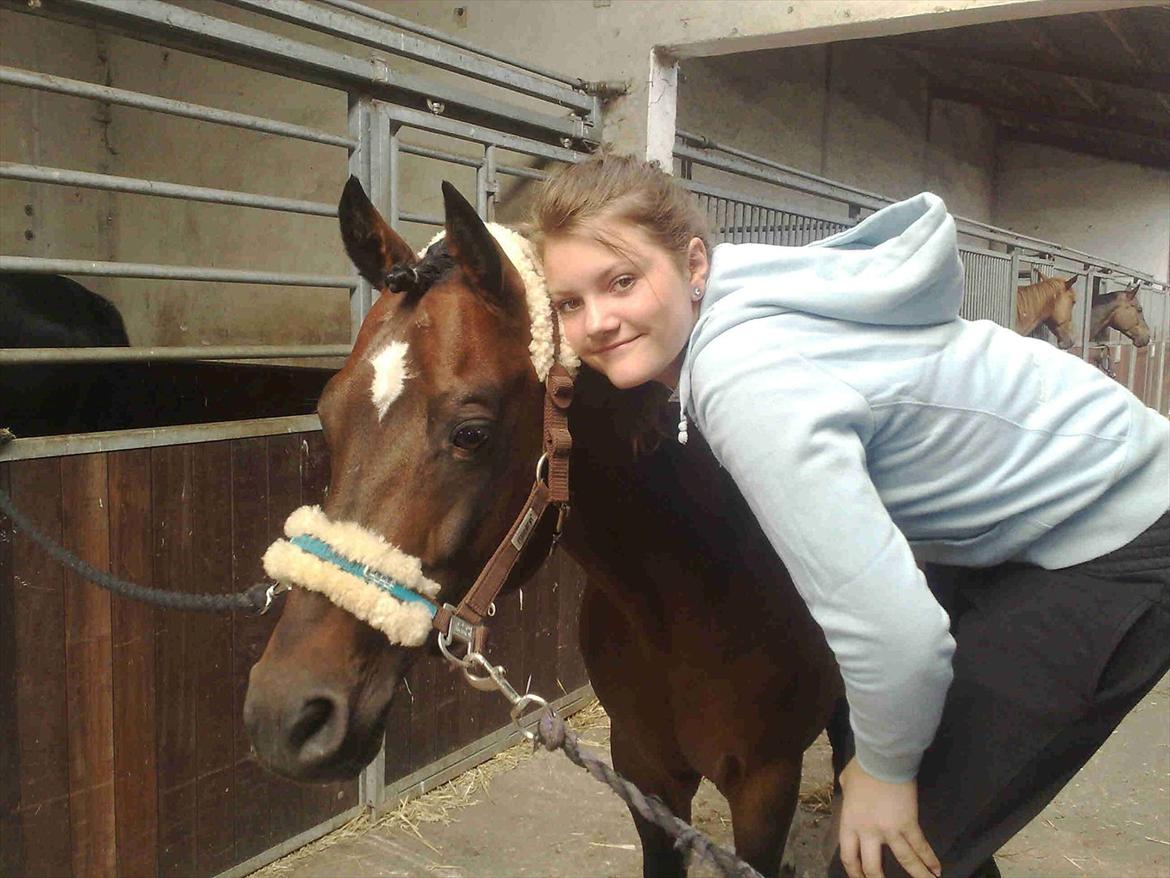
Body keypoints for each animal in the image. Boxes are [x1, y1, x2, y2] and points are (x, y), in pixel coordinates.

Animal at [242, 178, 841, 878]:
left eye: (471, 433)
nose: (285, 714)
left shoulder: (766, 790)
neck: (695, 594)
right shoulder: (647, 777)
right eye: (326, 415)